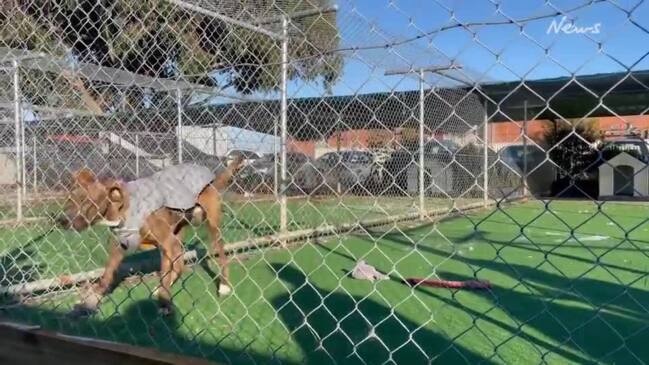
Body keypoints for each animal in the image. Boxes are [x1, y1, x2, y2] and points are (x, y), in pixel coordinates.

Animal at [58, 157, 244, 312]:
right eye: (68, 200)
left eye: (88, 202)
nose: (61, 220)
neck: (124, 208)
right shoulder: (120, 245)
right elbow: (107, 273)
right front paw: (92, 299)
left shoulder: (166, 242)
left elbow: (169, 272)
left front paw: (165, 302)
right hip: (176, 235)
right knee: (177, 265)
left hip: (211, 226)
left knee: (220, 254)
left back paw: (224, 285)